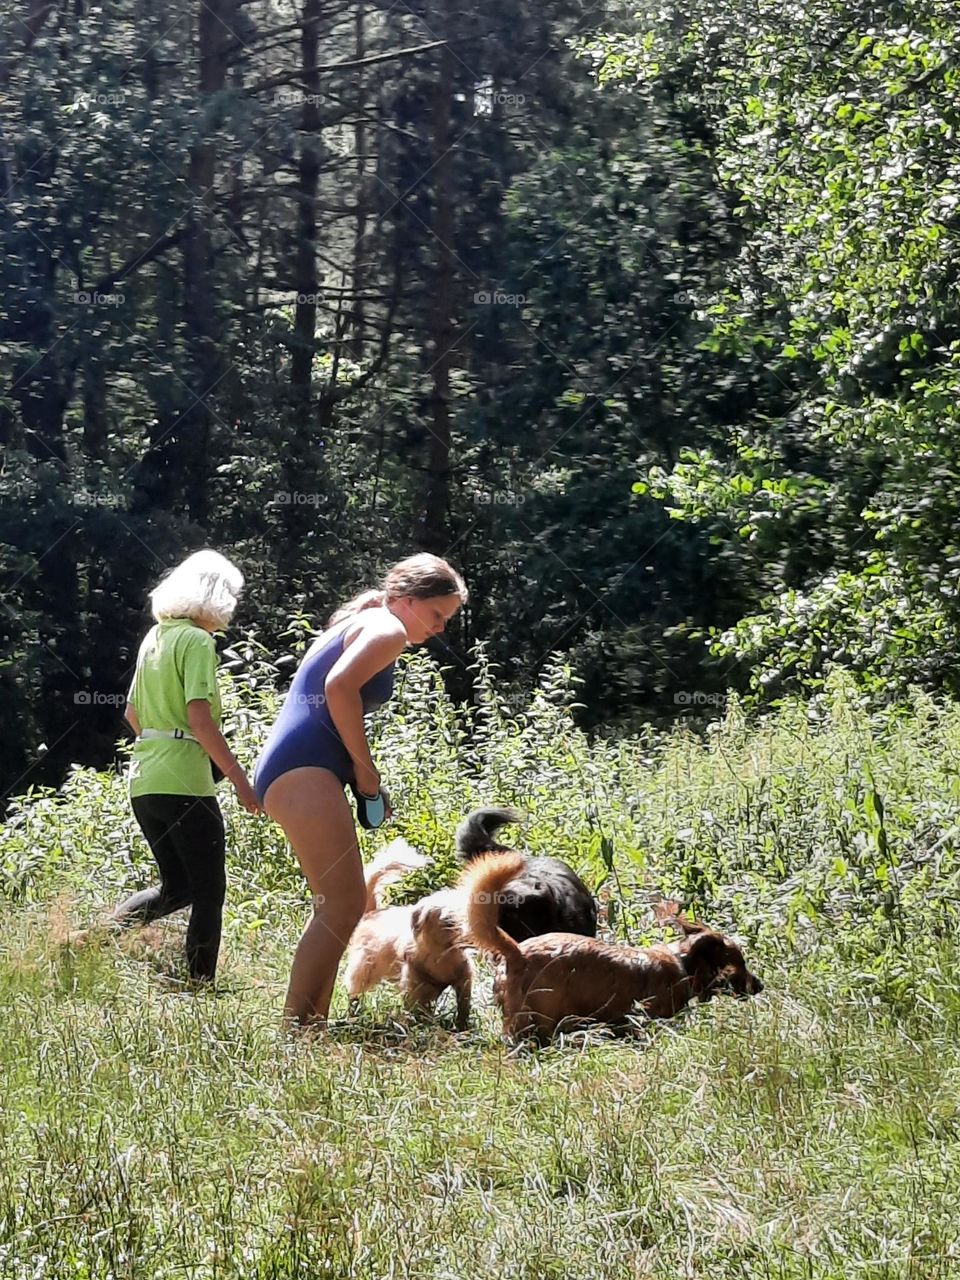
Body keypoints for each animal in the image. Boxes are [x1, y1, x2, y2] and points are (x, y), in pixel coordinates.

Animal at [343, 839, 476, 1029]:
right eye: (448, 921)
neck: (442, 954)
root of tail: (369, 914)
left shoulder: (464, 980)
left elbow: (463, 1006)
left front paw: (462, 1026)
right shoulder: (415, 987)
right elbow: (417, 1011)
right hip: (363, 969)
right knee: (354, 993)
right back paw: (353, 1014)